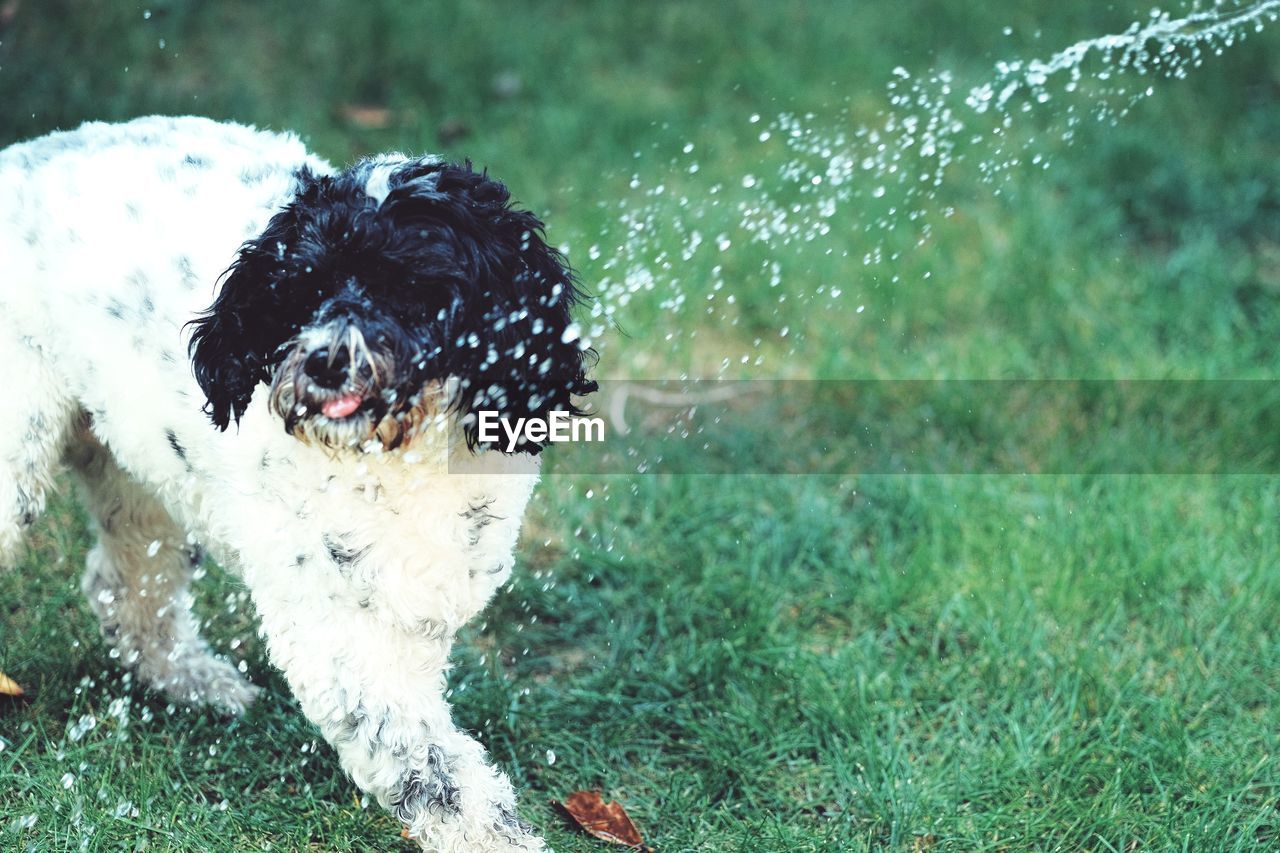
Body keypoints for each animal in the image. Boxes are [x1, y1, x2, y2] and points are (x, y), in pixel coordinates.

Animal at [0, 116, 599, 845]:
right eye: (305, 287)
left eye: (412, 285)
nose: (326, 362)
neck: (401, 458)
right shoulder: (336, 627)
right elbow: (424, 756)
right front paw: (492, 834)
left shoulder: (422, 599)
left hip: (139, 469)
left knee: (122, 586)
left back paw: (197, 682)